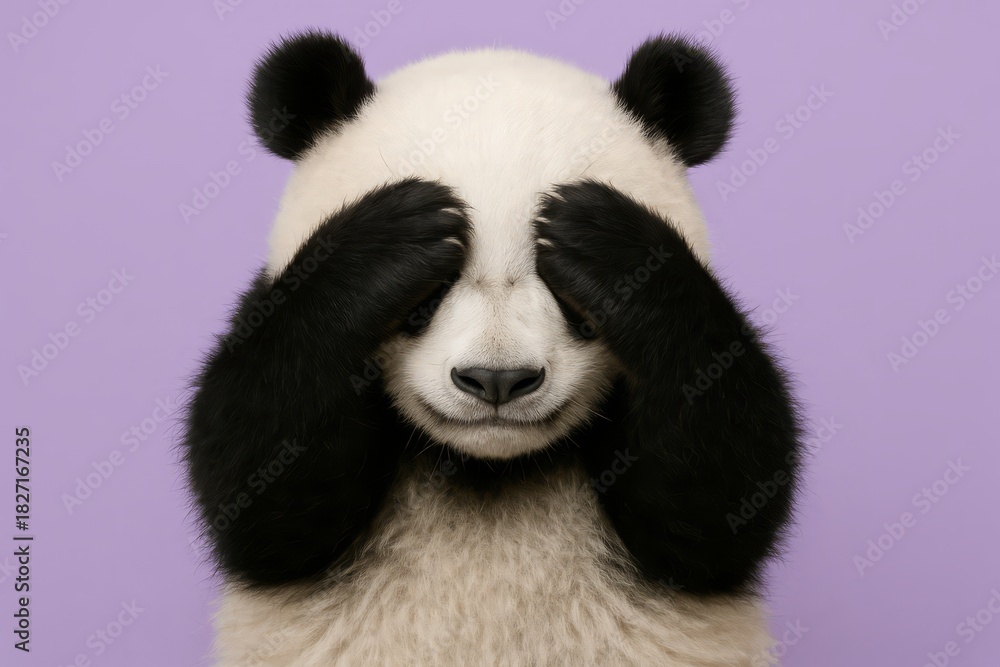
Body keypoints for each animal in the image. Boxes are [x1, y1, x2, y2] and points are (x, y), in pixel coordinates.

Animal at [184, 30, 801, 666]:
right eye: (425, 295)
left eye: (571, 299)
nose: (497, 380)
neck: (489, 467)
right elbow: (259, 494)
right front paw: (388, 240)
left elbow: (715, 510)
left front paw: (603, 238)